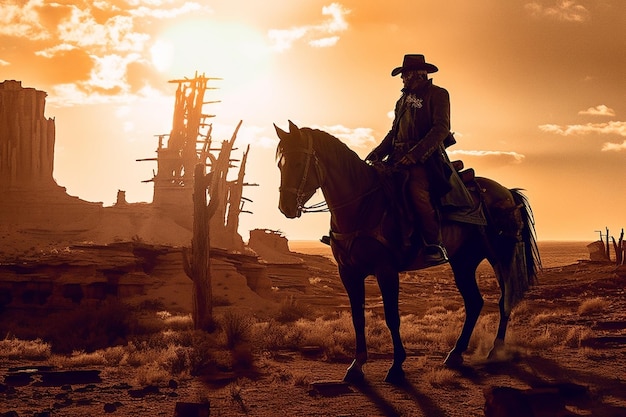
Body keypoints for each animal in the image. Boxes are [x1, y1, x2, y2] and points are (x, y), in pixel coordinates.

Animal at [272, 120, 540, 384]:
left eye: (298, 163)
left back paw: (495, 350)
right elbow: (357, 317)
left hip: (500, 257)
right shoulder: (348, 272)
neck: (362, 206)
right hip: (463, 261)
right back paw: (455, 354)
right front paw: (356, 366)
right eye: (280, 164)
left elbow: (392, 316)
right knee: (475, 301)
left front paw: (396, 367)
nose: (285, 207)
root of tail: (506, 192)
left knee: (504, 299)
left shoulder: (386, 270)